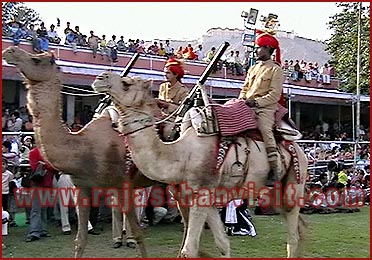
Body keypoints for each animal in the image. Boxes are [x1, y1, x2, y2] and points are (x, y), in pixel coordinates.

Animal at [1, 46, 157, 258]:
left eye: (36, 59)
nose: (10, 50)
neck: (83, 147)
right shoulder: (82, 187)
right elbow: (80, 240)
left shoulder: (122, 184)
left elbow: (139, 235)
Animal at [92, 72, 308, 258]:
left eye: (126, 83)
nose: (100, 78)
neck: (181, 153)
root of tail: (301, 151)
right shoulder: (205, 196)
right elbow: (222, 243)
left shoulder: (202, 191)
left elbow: (188, 250)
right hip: (273, 194)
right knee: (299, 228)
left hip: (294, 183)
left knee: (292, 236)